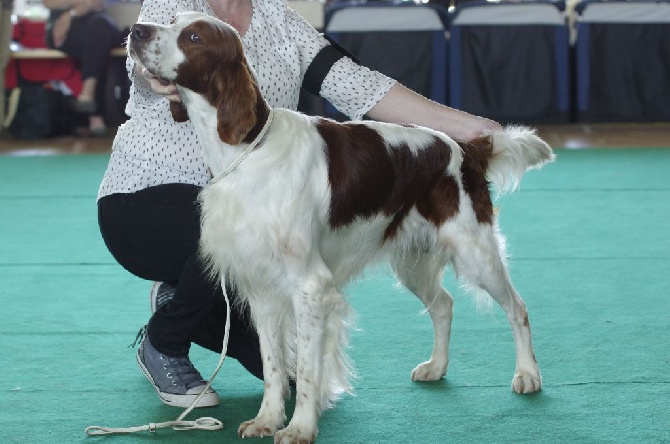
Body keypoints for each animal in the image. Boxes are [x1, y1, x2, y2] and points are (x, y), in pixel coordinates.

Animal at [129, 11, 552, 444]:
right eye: (172, 19)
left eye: (194, 37)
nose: (136, 31)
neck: (247, 150)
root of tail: (465, 149)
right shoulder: (261, 286)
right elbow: (273, 365)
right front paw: (267, 419)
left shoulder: (310, 287)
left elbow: (307, 370)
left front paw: (300, 427)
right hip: (413, 261)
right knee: (443, 304)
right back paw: (436, 367)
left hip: (473, 250)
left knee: (517, 308)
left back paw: (527, 375)